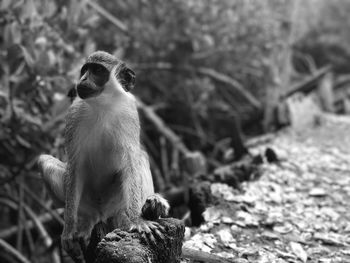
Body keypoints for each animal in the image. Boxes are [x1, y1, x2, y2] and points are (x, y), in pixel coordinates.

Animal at [38, 51, 170, 263]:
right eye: (85, 70)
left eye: (97, 70)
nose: (82, 79)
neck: (103, 103)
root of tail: (102, 214)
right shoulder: (75, 114)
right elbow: (75, 166)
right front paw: (68, 232)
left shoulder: (129, 109)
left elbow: (131, 161)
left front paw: (137, 220)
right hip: (88, 203)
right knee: (45, 162)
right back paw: (86, 221)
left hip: (115, 201)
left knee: (140, 156)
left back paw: (151, 207)